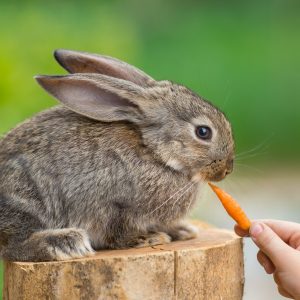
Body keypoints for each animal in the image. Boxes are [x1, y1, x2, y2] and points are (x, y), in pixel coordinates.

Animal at [0, 50, 234, 262]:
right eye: (203, 132)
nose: (227, 169)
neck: (154, 153)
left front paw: (182, 231)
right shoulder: (112, 206)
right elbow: (118, 232)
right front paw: (149, 239)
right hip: (26, 199)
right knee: (13, 246)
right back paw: (65, 243)